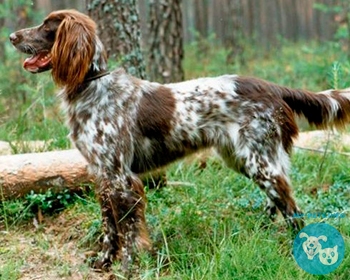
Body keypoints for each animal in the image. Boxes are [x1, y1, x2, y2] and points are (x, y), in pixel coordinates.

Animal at [9, 9, 350, 272]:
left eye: (47, 26)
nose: (12, 36)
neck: (91, 86)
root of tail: (273, 87)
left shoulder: (122, 178)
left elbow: (129, 230)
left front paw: (127, 269)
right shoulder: (102, 176)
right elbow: (110, 227)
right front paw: (104, 262)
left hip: (260, 162)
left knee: (293, 210)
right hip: (247, 159)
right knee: (277, 202)